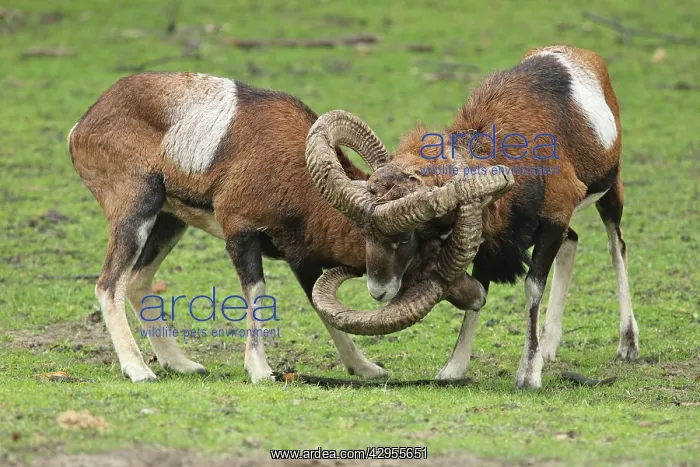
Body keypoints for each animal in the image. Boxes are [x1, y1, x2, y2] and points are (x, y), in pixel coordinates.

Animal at [68, 72, 512, 383]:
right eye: (409, 240)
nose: (475, 295)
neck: (289, 171)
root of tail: (82, 126)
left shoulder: (300, 258)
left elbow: (323, 310)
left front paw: (366, 369)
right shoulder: (241, 235)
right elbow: (257, 295)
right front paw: (260, 372)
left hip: (168, 222)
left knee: (138, 282)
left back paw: (183, 365)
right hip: (137, 211)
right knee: (109, 284)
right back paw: (140, 371)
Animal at [307, 45, 640, 389]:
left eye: (406, 237)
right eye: (364, 234)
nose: (378, 291)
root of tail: (583, 55)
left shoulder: (554, 220)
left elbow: (533, 288)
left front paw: (528, 375)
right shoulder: (490, 239)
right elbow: (482, 287)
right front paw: (453, 368)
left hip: (611, 192)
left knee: (617, 248)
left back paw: (627, 346)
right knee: (572, 242)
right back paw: (549, 348)